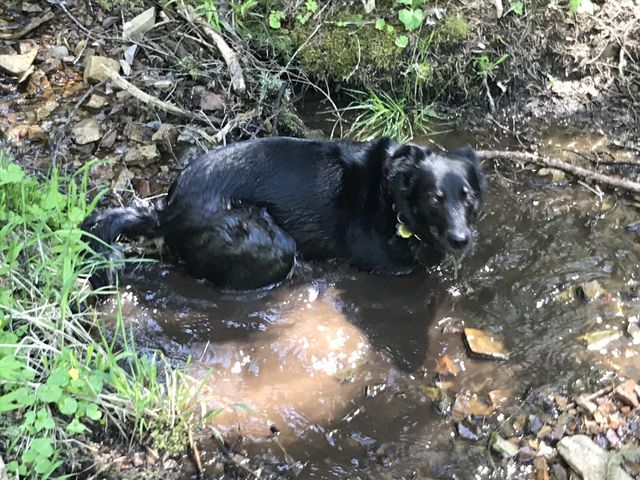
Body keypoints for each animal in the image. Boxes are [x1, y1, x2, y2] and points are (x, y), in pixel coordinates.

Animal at [84, 137, 484, 290]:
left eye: (467, 197)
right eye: (434, 198)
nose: (461, 239)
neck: (393, 200)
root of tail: (169, 212)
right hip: (270, 242)